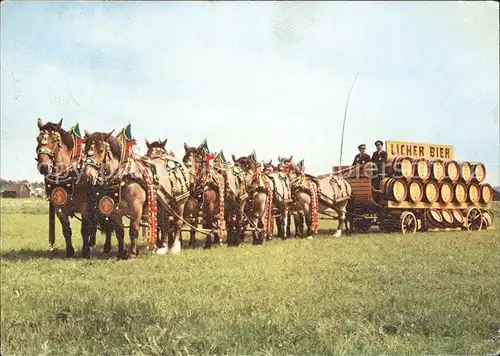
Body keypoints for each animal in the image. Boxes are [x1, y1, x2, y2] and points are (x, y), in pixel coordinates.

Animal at [35, 118, 101, 258]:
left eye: (55, 140)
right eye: (38, 139)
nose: (43, 167)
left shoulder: (85, 207)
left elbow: (84, 230)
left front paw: (85, 251)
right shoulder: (59, 209)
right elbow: (66, 230)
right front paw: (70, 251)